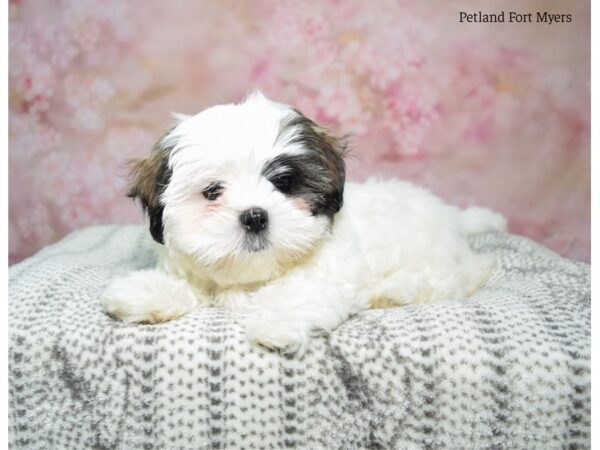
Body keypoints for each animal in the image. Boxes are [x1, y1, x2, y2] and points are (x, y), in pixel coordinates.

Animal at [101, 91, 504, 356]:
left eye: (283, 182)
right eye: (212, 191)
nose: (254, 216)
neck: (255, 277)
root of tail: (452, 217)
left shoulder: (329, 275)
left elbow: (299, 293)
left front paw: (276, 321)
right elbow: (188, 285)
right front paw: (144, 292)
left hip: (440, 264)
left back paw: (396, 290)